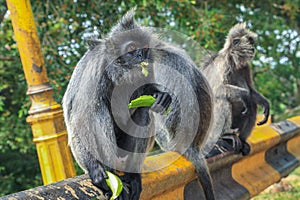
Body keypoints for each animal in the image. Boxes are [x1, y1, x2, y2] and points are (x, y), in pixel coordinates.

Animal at [202, 22, 270, 156]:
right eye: (249, 42)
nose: (253, 48)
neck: (233, 60)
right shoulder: (222, 63)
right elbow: (215, 90)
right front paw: (244, 94)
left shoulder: (245, 67)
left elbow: (251, 91)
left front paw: (265, 103)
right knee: (221, 100)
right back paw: (224, 136)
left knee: (252, 105)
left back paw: (242, 140)